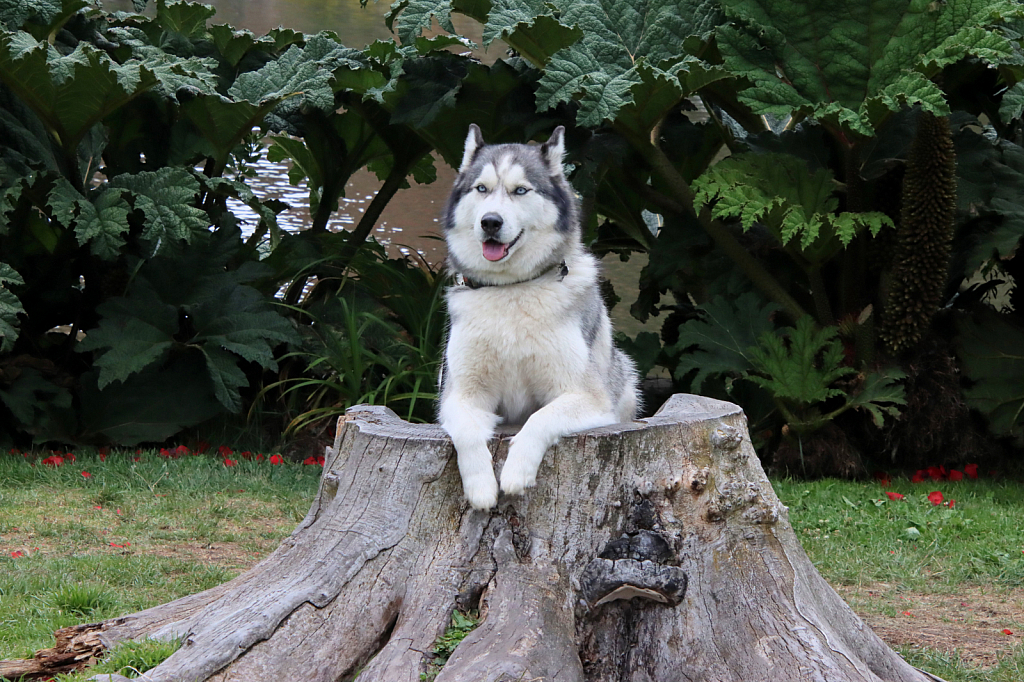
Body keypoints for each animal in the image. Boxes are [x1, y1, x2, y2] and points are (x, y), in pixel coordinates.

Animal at [440, 124, 638, 507]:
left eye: (520, 190)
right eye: (482, 189)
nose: (490, 222)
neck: (511, 289)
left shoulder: (587, 397)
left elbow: (539, 419)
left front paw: (516, 472)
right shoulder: (459, 396)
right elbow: (468, 435)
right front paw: (480, 487)